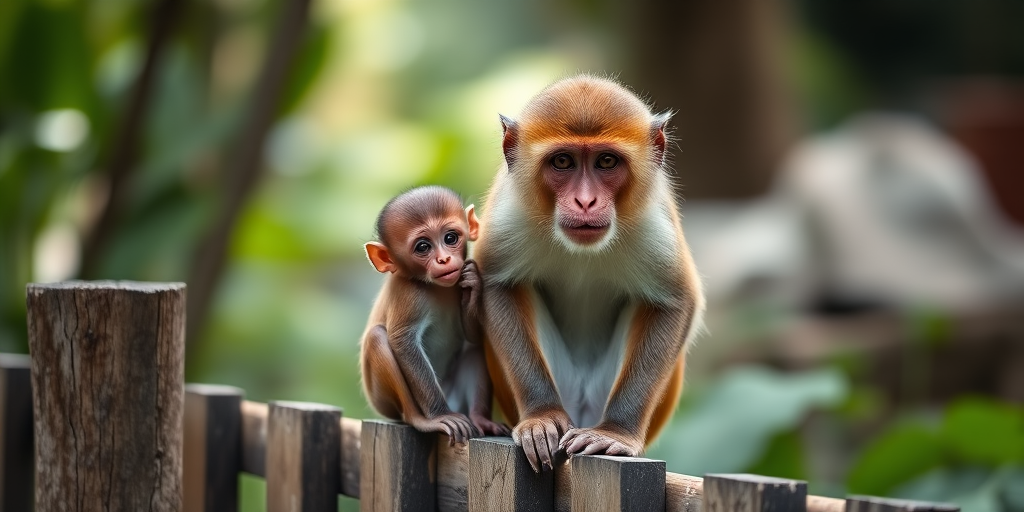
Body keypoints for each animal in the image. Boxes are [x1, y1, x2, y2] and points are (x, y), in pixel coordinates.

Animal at [360, 186, 510, 445]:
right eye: (423, 247)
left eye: (450, 238)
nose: (444, 259)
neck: (435, 287)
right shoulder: (409, 294)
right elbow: (403, 341)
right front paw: (440, 415)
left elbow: (472, 337)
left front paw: (473, 284)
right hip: (383, 402)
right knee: (378, 338)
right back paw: (422, 419)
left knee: (475, 349)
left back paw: (479, 418)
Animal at [474, 75, 705, 471]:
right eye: (563, 161)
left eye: (606, 161)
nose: (585, 201)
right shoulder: (509, 214)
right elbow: (497, 283)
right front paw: (541, 417)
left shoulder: (654, 223)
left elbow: (676, 301)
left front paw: (615, 432)